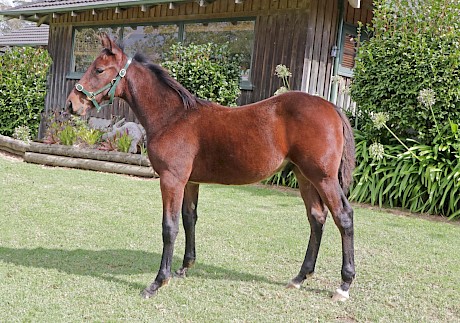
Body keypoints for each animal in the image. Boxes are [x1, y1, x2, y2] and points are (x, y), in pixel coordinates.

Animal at [67, 33, 356, 302]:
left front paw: (158, 282)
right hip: (304, 176)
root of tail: (332, 107)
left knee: (343, 217)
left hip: (324, 178)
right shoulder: (190, 181)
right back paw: (300, 277)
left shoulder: (171, 180)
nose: (72, 104)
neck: (173, 117)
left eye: (99, 70)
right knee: (317, 218)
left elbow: (169, 227)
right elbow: (189, 219)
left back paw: (344, 285)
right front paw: (184, 267)